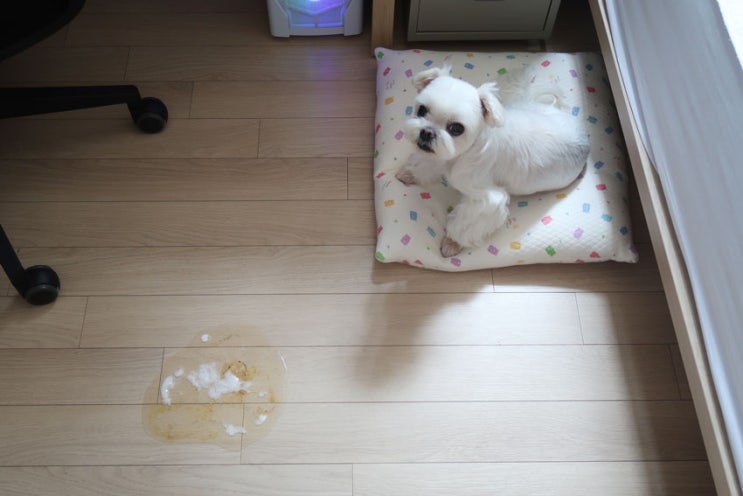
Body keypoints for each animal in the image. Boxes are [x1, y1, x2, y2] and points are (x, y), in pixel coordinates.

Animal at [396, 66, 590, 257]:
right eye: (421, 110)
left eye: (456, 128)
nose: (427, 132)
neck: (464, 154)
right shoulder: (441, 154)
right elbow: (429, 163)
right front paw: (409, 173)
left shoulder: (486, 198)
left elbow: (469, 222)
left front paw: (452, 242)